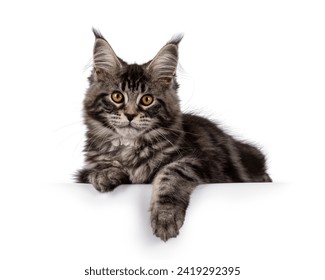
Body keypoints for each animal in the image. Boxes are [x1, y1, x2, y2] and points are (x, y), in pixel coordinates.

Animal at [76, 29, 270, 242]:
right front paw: (105, 173)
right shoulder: (83, 171)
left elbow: (171, 173)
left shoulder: (198, 160)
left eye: (147, 100)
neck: (130, 146)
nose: (130, 115)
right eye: (117, 96)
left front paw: (165, 217)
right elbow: (96, 169)